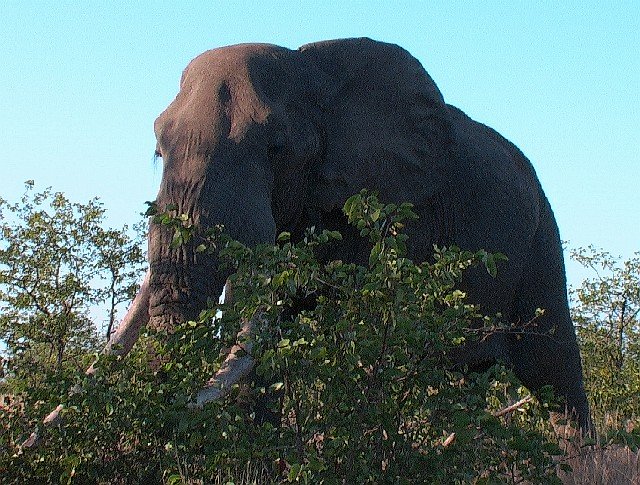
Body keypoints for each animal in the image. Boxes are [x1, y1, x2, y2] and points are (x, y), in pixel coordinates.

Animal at [109, 37, 591, 432]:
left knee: (554, 367)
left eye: (277, 149)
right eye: (158, 151)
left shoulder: (391, 208)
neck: (312, 73)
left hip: (541, 233)